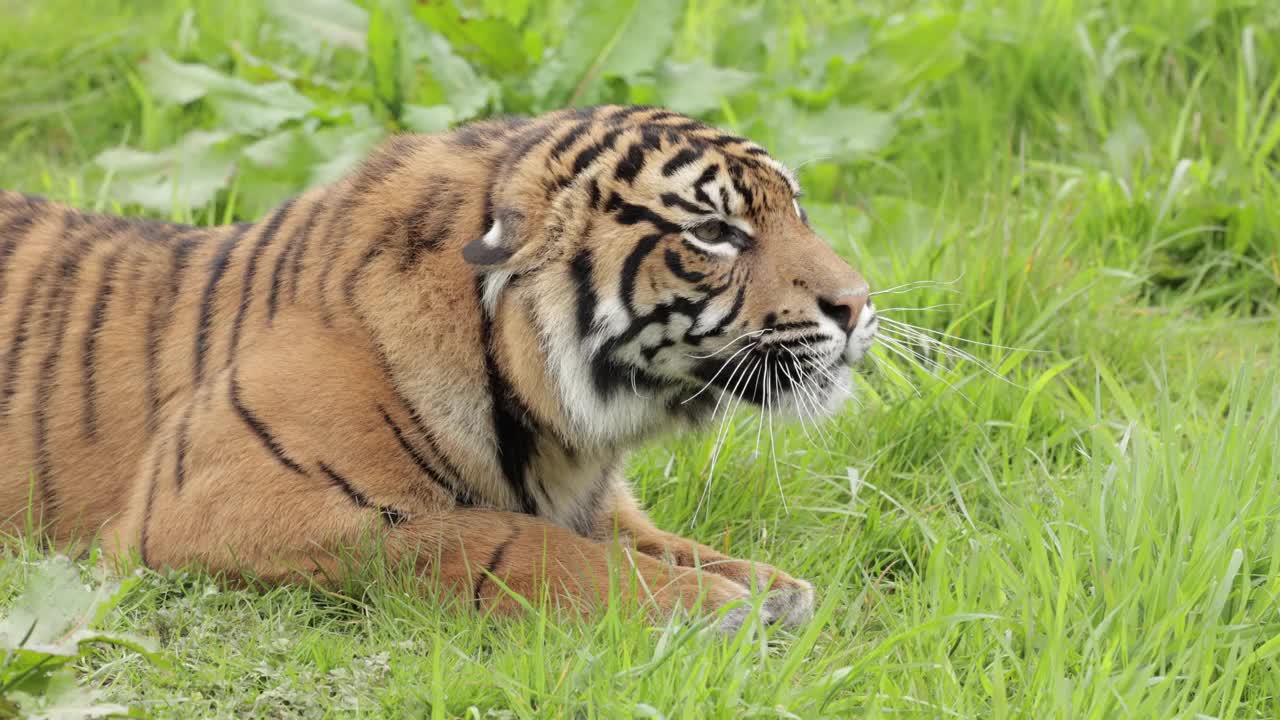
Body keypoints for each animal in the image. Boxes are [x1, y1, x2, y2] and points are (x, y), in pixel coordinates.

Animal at [0, 103, 875, 630]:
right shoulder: (217, 506)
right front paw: (710, 604)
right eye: (716, 233)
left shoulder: (597, 501)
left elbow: (655, 537)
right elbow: (502, 540)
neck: (559, 432)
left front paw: (770, 586)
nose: (858, 303)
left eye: (796, 210)